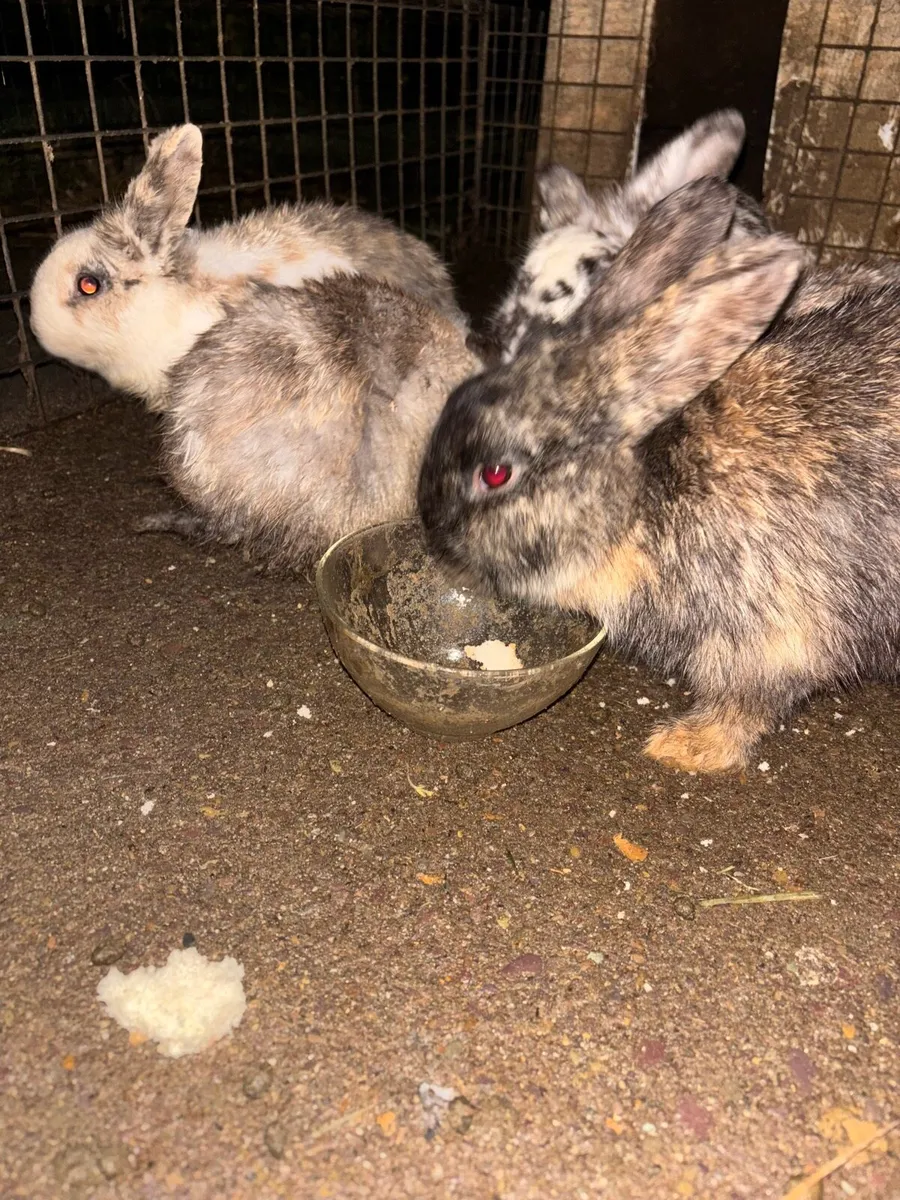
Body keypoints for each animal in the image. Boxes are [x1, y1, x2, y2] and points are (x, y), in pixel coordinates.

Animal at [417, 174, 900, 775]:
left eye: (496, 473)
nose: (434, 537)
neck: (639, 501)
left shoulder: (771, 634)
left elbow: (747, 703)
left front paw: (685, 747)